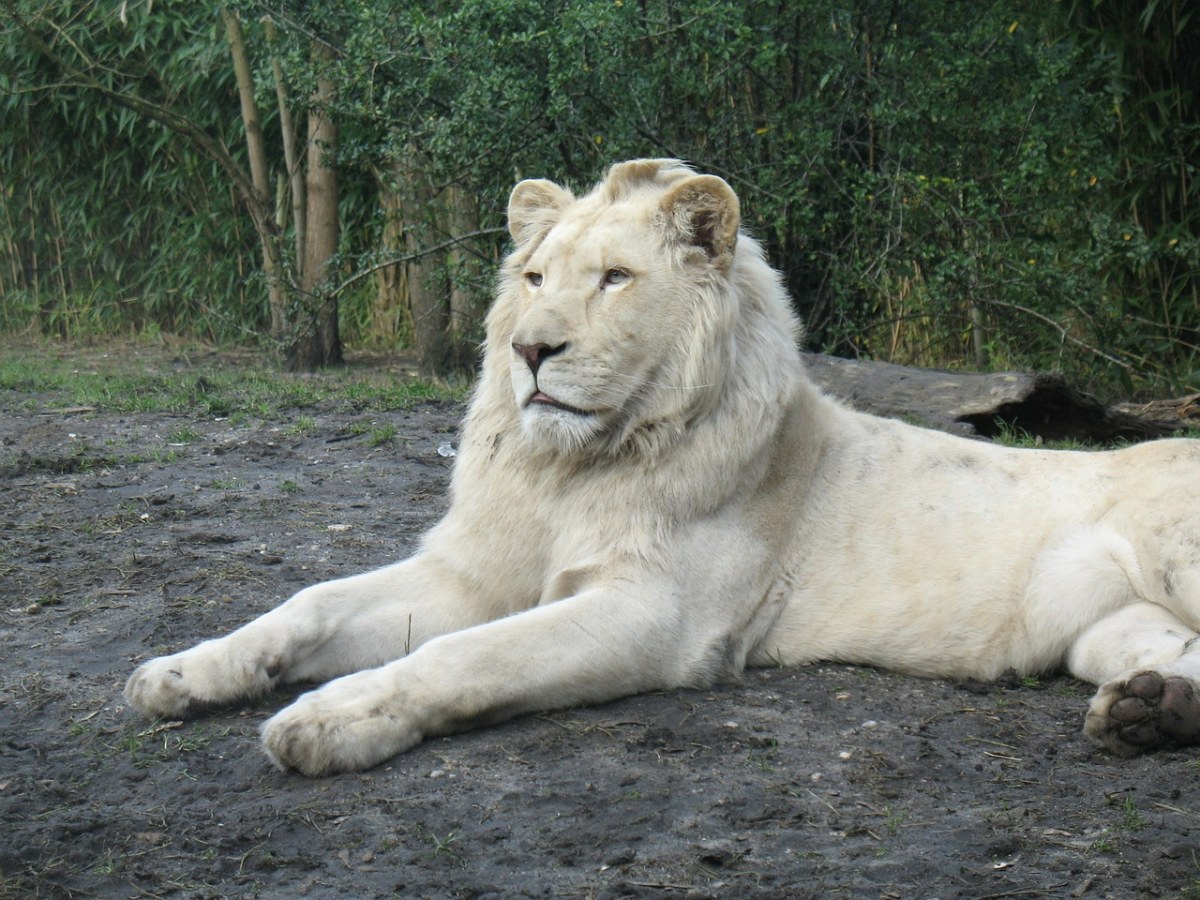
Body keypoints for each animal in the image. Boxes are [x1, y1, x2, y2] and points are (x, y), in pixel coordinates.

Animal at [121, 160, 1200, 777]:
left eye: (615, 280)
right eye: (534, 279)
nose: (532, 351)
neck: (571, 470)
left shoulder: (656, 615)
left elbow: (465, 658)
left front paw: (329, 719)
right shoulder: (473, 574)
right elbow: (307, 605)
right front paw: (180, 675)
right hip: (1105, 632)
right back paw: (1148, 714)